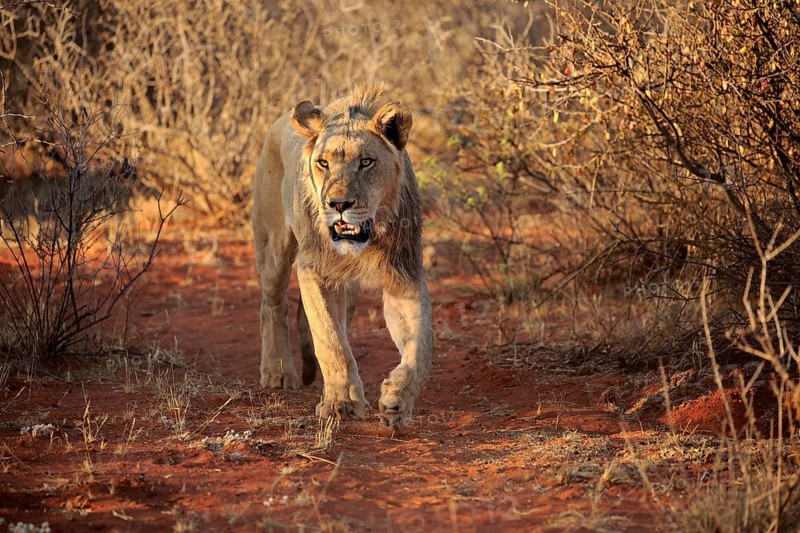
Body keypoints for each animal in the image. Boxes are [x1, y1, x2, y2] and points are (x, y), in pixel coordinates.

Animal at [251, 85, 433, 430]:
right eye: (323, 163)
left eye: (366, 162)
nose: (338, 204)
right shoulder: (313, 270)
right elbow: (330, 339)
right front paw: (341, 402)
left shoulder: (404, 277)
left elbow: (422, 346)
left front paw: (398, 400)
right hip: (274, 249)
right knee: (273, 306)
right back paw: (277, 371)